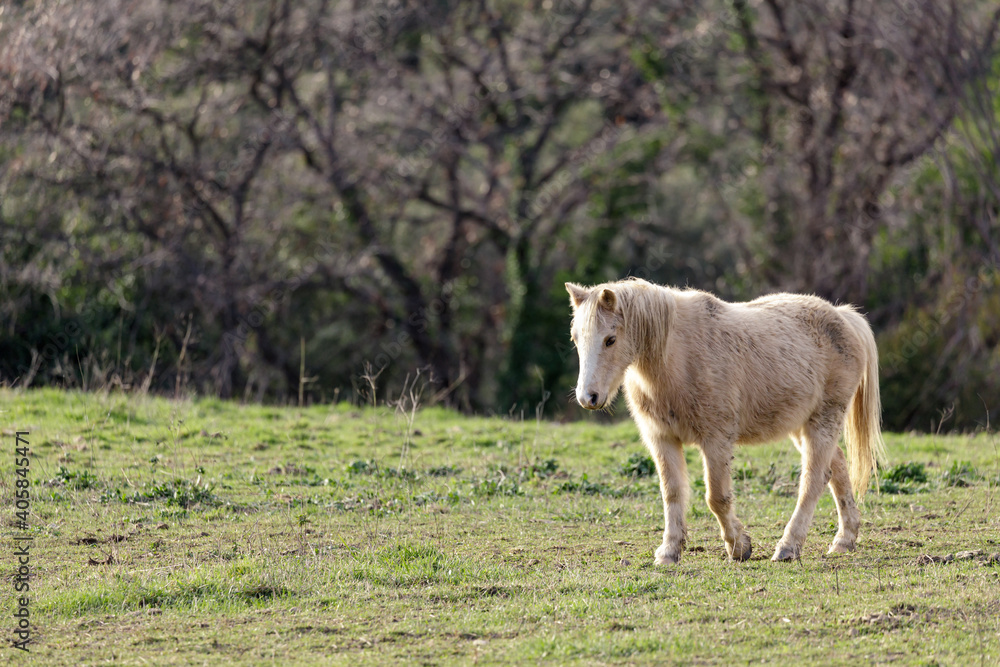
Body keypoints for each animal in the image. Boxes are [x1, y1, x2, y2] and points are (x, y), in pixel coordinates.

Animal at [565, 278, 886, 563]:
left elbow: (717, 497)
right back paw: (844, 540)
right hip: (802, 426)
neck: (677, 358)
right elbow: (672, 493)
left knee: (813, 480)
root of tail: (843, 317)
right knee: (838, 467)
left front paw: (739, 547)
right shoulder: (662, 439)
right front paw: (669, 552)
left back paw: (788, 547)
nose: (588, 397)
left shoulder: (716, 441)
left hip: (823, 421)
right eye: (576, 339)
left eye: (610, 339)